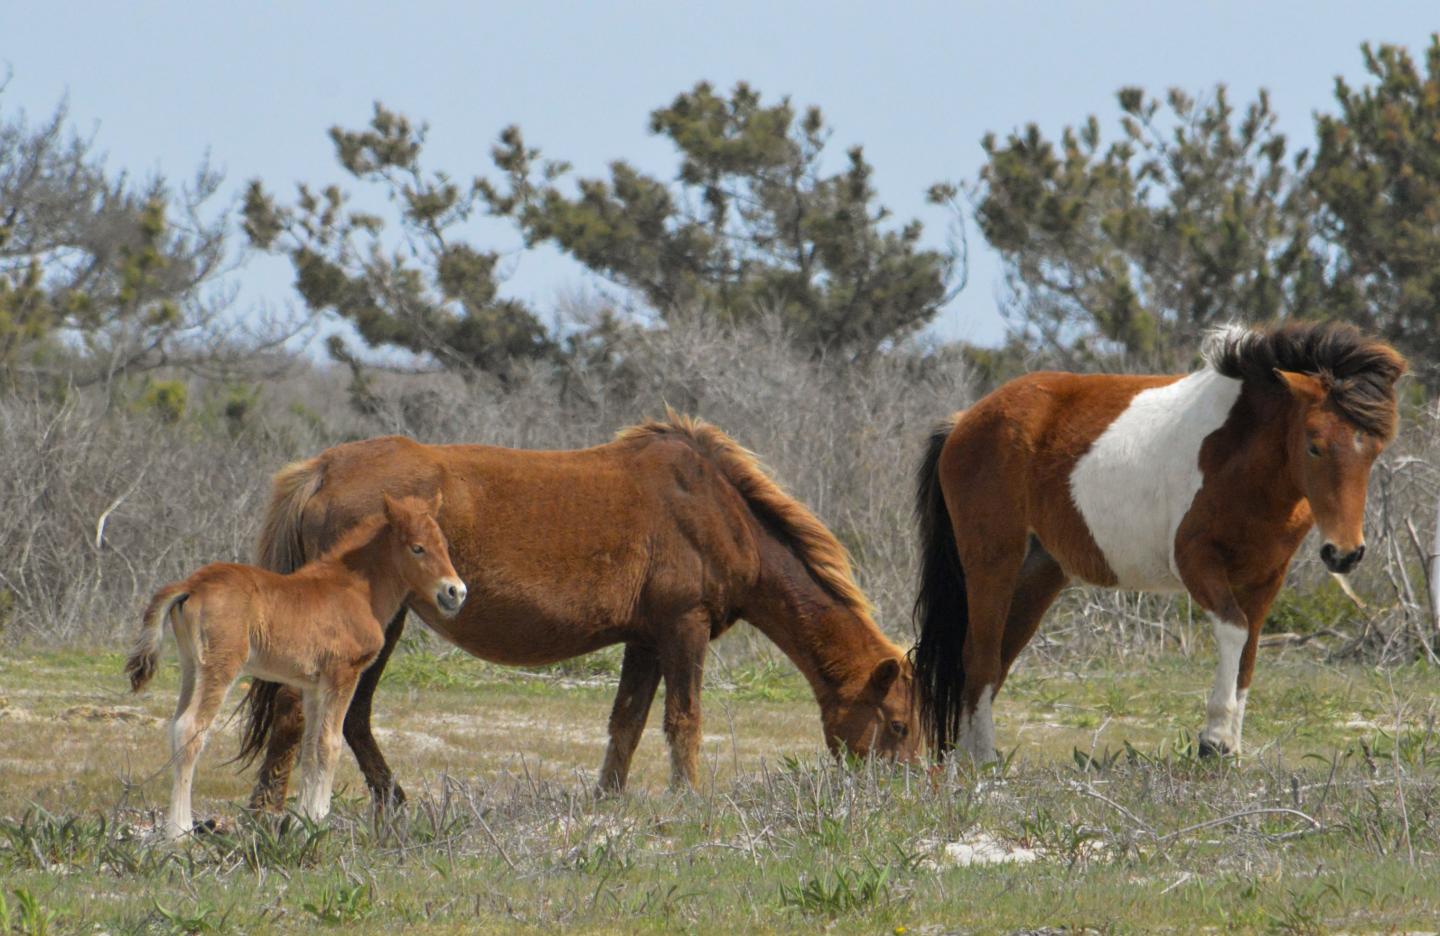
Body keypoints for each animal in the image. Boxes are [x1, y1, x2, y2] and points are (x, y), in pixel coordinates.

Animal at [125, 493, 465, 839]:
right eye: (417, 548)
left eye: (444, 545)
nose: (455, 592)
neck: (356, 589)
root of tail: (192, 584)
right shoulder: (343, 675)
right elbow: (330, 745)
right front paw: (320, 819)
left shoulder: (313, 686)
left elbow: (312, 747)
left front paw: (305, 822)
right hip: (220, 668)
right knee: (191, 728)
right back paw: (179, 831)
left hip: (191, 666)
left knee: (176, 725)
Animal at [236, 409, 920, 811]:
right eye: (899, 725)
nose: (904, 793)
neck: (718, 510)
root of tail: (323, 469)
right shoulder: (684, 628)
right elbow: (684, 720)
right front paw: (688, 800)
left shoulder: (646, 640)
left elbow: (627, 724)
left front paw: (607, 802)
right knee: (301, 714)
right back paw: (270, 816)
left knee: (347, 719)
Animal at [912, 321, 1406, 762]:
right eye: (1314, 445)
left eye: (1376, 448)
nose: (1345, 553)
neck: (1238, 452)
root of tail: (965, 420)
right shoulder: (1196, 563)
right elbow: (1233, 629)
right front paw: (1214, 741)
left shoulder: (1267, 576)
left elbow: (1249, 651)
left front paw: (1231, 746)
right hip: (992, 563)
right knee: (978, 655)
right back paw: (981, 760)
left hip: (1039, 574)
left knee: (997, 658)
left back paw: (966, 753)